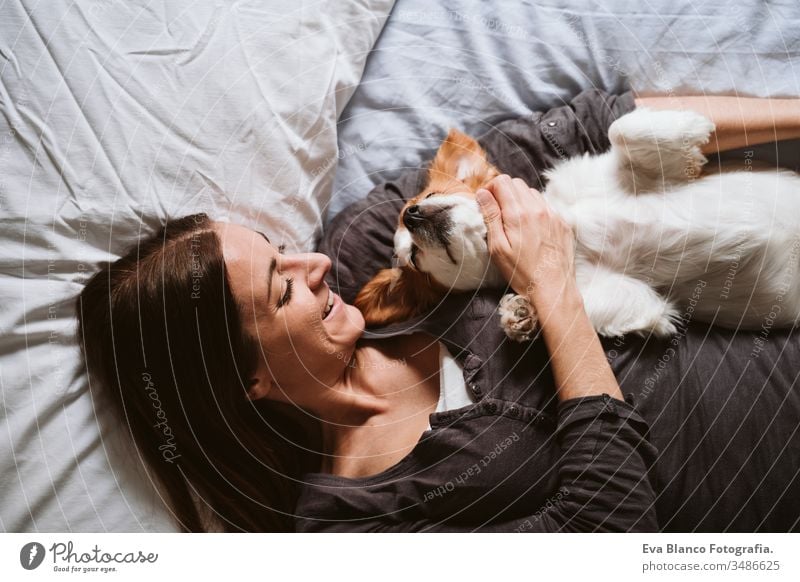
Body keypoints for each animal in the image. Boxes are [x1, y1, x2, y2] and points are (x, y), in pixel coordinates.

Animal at [354, 108, 800, 342]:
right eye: (413, 258)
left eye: (424, 197)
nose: (411, 215)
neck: (568, 226)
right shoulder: (616, 291)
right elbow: (587, 304)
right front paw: (520, 313)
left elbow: (622, 129)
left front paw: (690, 125)